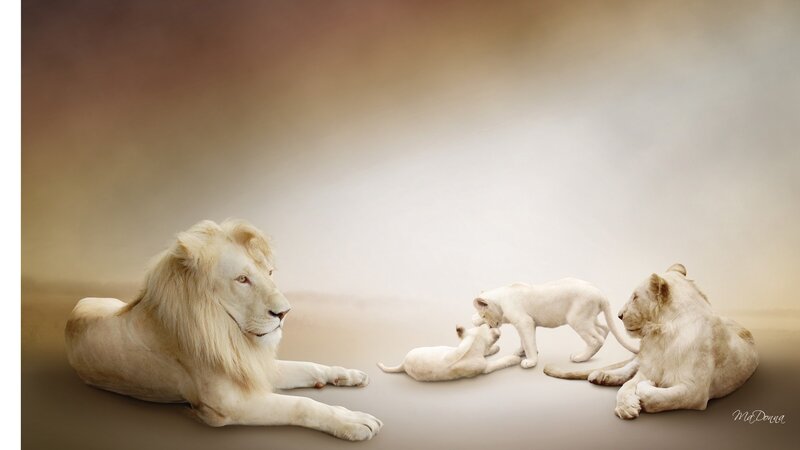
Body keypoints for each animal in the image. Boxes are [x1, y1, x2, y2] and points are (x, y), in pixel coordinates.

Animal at [65, 219, 382, 440]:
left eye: (269, 273)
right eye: (242, 279)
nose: (285, 313)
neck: (231, 335)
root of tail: (77, 304)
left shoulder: (252, 367)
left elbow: (308, 366)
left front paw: (347, 375)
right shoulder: (229, 405)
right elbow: (301, 405)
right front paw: (353, 421)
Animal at [377, 324, 520, 381]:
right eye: (490, 326)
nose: (494, 325)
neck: (470, 346)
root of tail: (403, 364)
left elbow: (487, 351)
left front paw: (495, 349)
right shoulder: (485, 367)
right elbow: (501, 361)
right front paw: (515, 359)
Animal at [543, 264, 758, 419]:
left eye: (635, 297)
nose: (619, 315)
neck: (662, 336)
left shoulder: (695, 391)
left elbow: (659, 397)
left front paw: (646, 389)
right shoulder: (649, 366)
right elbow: (626, 386)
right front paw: (626, 407)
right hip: (640, 358)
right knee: (629, 368)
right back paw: (601, 375)